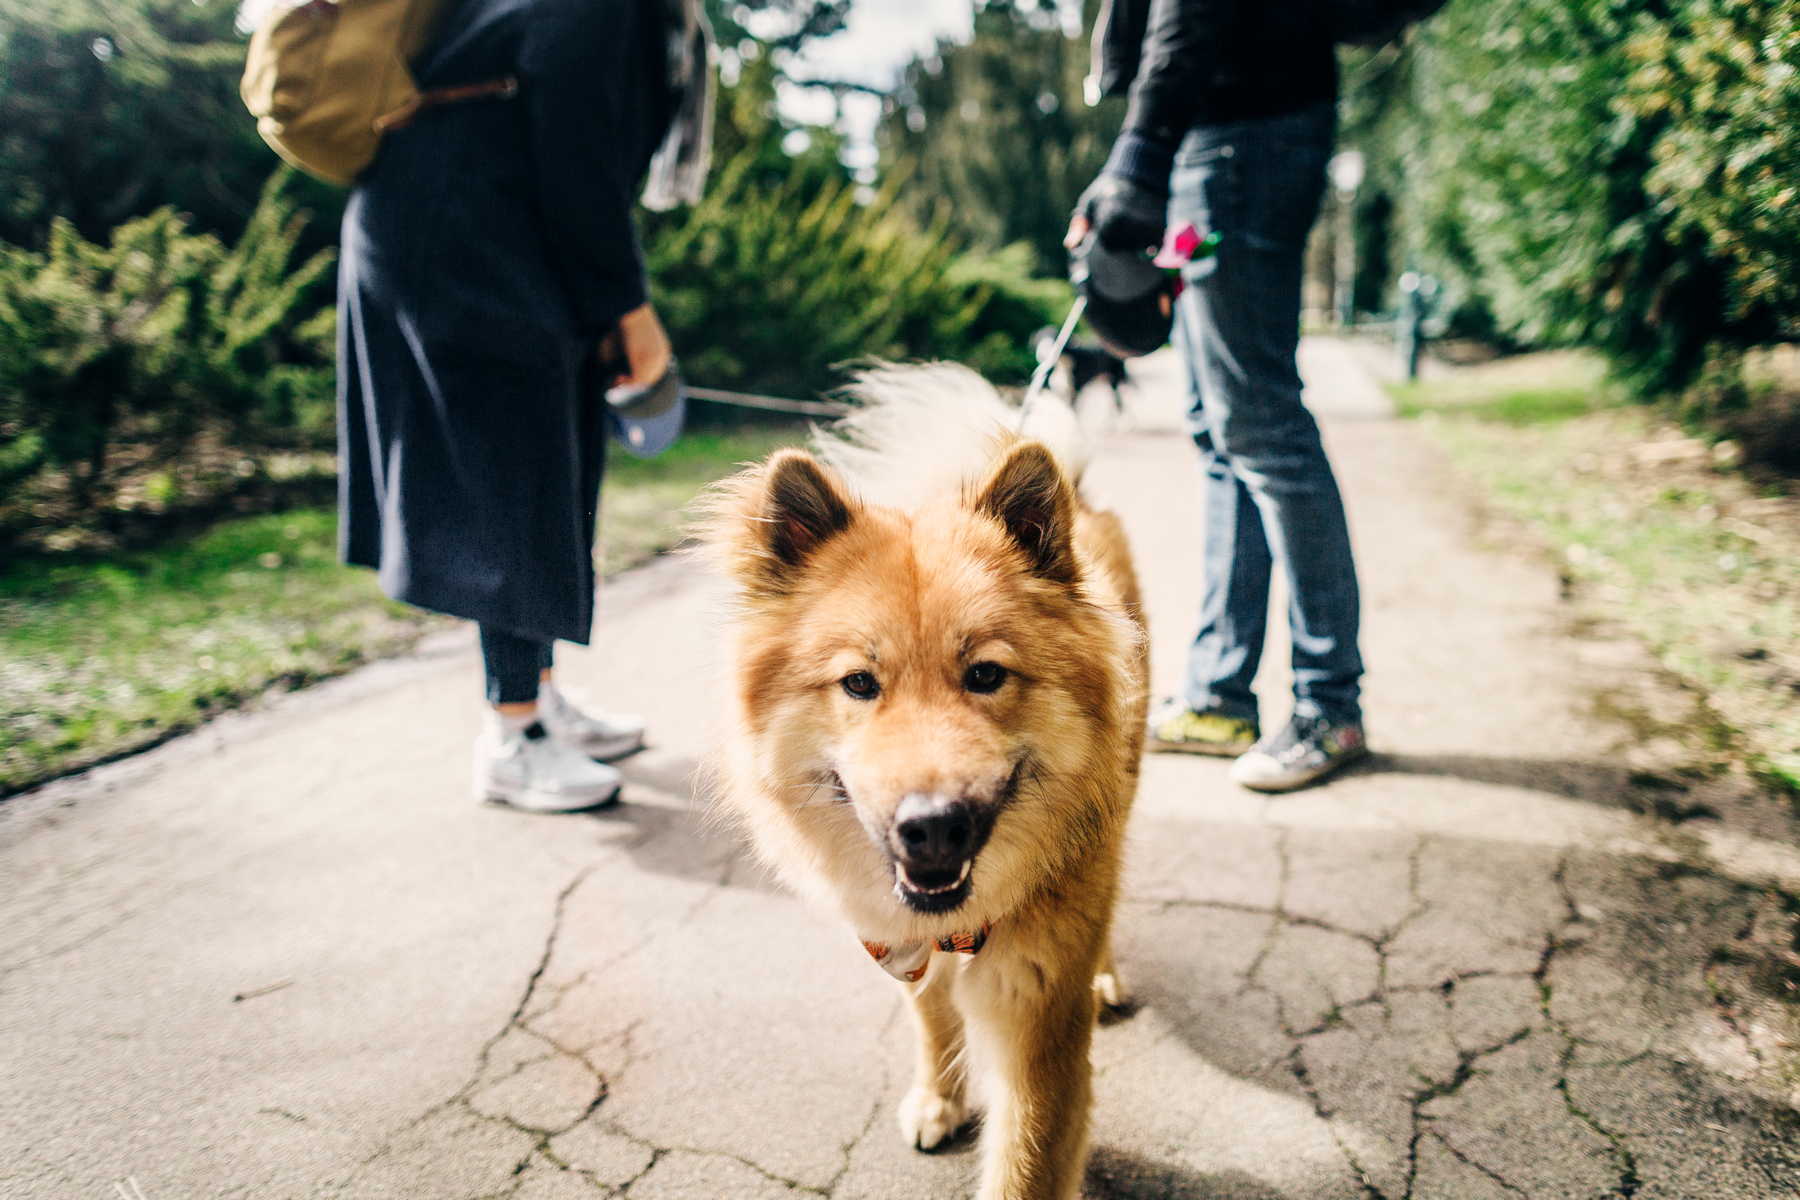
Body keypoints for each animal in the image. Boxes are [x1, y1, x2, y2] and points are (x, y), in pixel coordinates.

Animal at [694, 368, 1144, 1200]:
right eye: (859, 683)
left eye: (987, 675)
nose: (933, 825)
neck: (961, 925)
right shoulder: (900, 945)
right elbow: (934, 1020)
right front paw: (940, 1099)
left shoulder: (1041, 1036)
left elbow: (1025, 1163)